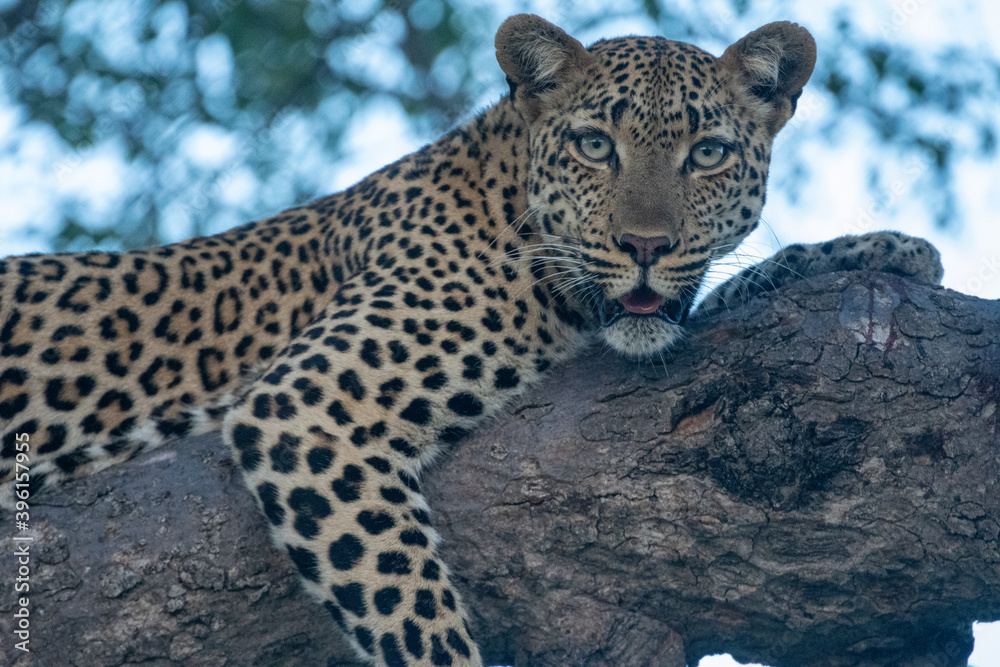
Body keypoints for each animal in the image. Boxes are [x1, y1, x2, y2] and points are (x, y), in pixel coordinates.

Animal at [0, 14, 943, 667]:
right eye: (595, 144)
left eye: (707, 153)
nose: (644, 245)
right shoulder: (303, 405)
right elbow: (411, 609)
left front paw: (885, 248)